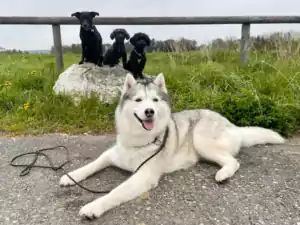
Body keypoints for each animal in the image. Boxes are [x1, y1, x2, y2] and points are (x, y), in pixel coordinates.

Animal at [59, 72, 286, 220]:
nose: (149, 111)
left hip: (201, 140)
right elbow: (92, 164)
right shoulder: (111, 154)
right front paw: (71, 177)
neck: (139, 139)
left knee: (233, 161)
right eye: (139, 100)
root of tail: (233, 125)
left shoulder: (143, 176)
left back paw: (223, 174)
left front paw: (94, 206)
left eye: (154, 100)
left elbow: (114, 192)